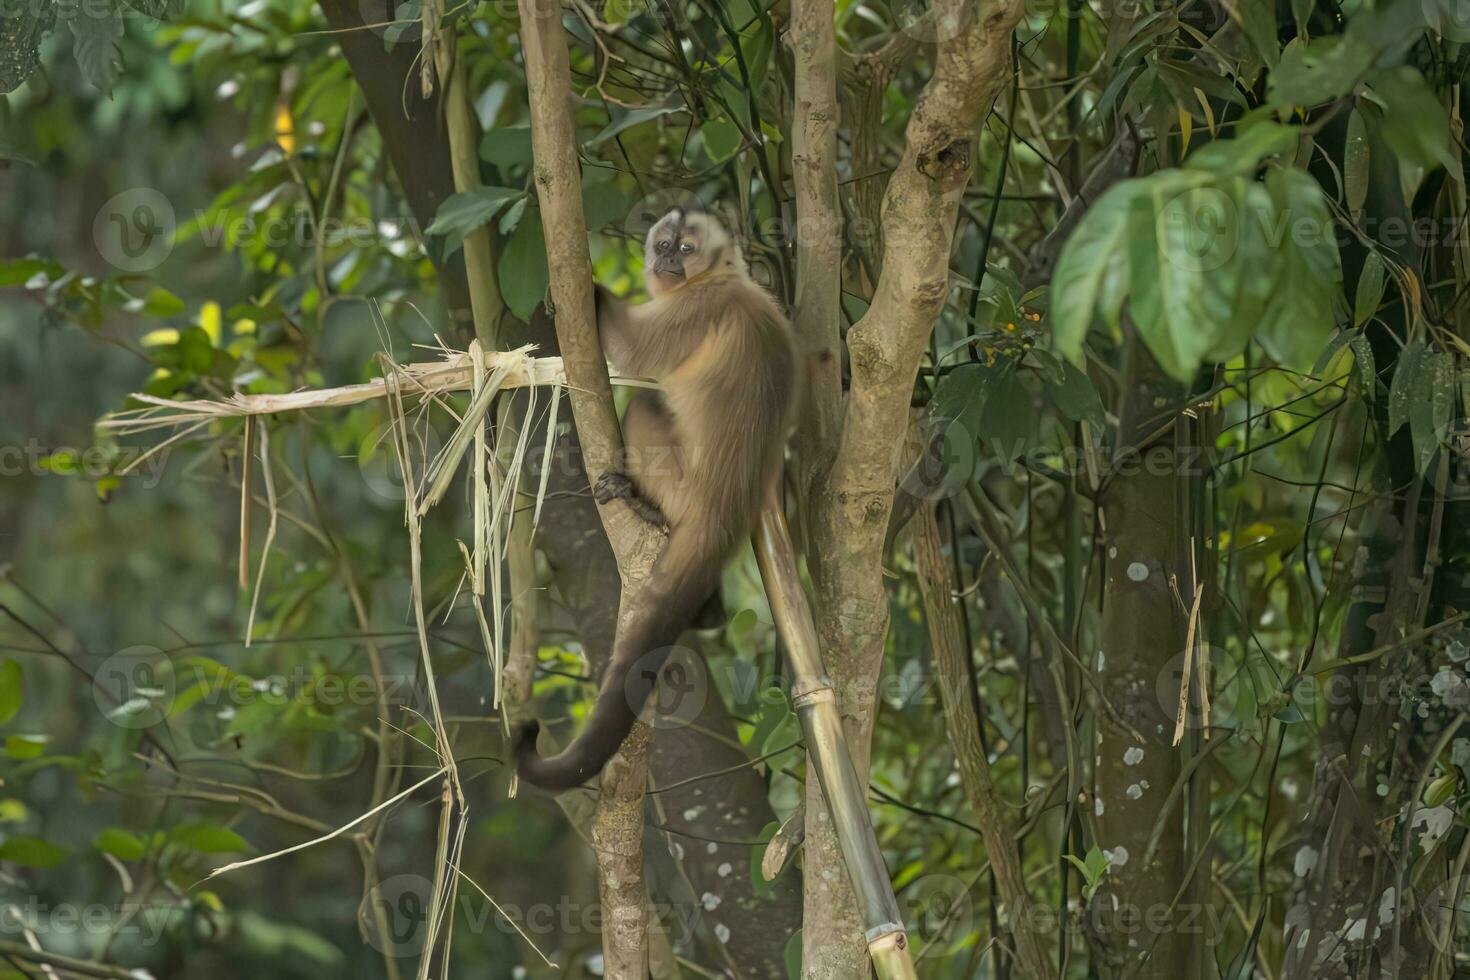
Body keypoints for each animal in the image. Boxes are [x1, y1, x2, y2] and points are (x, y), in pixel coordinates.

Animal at [514, 211, 793, 793]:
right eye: (663, 244)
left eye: (685, 248)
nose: (667, 261)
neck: (720, 278)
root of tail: (724, 511)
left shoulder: (697, 307)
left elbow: (633, 353)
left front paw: (588, 291)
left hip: (682, 483)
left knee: (645, 404)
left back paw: (646, 506)